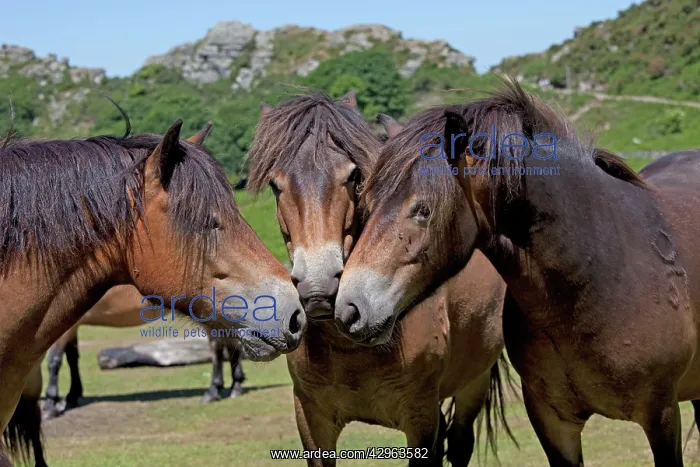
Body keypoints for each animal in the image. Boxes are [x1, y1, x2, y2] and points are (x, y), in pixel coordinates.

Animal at [0, 118, 306, 465]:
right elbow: (66, 359)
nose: (294, 313)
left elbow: (57, 361)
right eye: (208, 222)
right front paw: (68, 396)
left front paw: (56, 401)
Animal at [247, 92, 515, 466]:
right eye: (275, 185)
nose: (318, 288)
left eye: (353, 176)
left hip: (473, 383)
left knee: (461, 443)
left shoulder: (420, 419)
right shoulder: (312, 422)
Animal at [334, 77, 700, 466]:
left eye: (422, 210)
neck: (602, 273)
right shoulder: (553, 420)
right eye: (367, 201)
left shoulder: (661, 415)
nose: (349, 309)